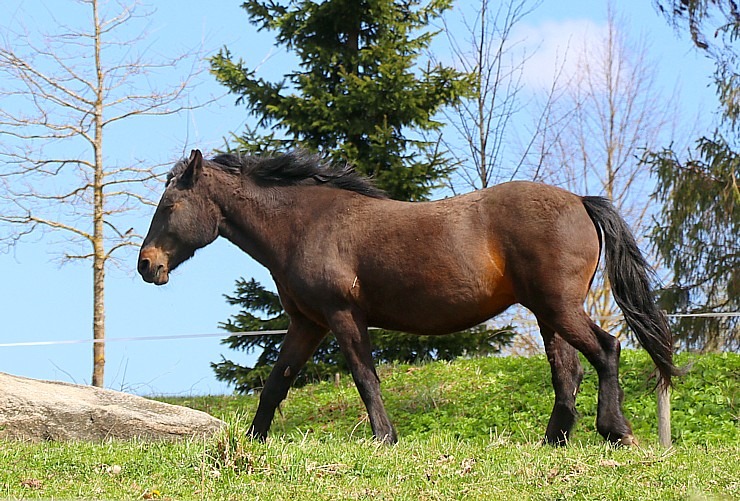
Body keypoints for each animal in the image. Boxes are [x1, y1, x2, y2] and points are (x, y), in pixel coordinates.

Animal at [139, 149, 684, 446]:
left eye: (170, 205)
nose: (147, 264)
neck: (305, 225)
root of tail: (580, 202)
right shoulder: (306, 324)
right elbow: (276, 385)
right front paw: (252, 441)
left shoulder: (342, 315)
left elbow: (365, 377)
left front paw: (385, 437)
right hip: (548, 313)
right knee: (566, 373)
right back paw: (553, 442)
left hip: (559, 308)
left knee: (606, 350)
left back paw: (615, 430)